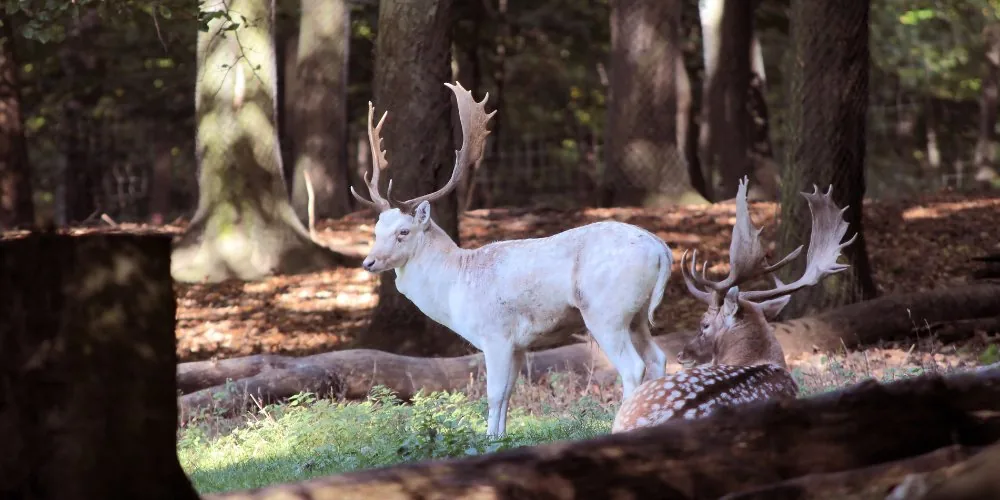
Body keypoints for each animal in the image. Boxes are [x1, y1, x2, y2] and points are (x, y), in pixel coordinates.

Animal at [352, 81, 675, 437]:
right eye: (376, 229)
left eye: (403, 232)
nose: (369, 263)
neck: (455, 286)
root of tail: (660, 248)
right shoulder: (520, 344)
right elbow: (508, 393)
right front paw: (500, 438)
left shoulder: (496, 334)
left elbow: (493, 394)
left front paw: (488, 438)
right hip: (637, 315)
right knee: (658, 358)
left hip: (606, 311)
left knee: (634, 367)